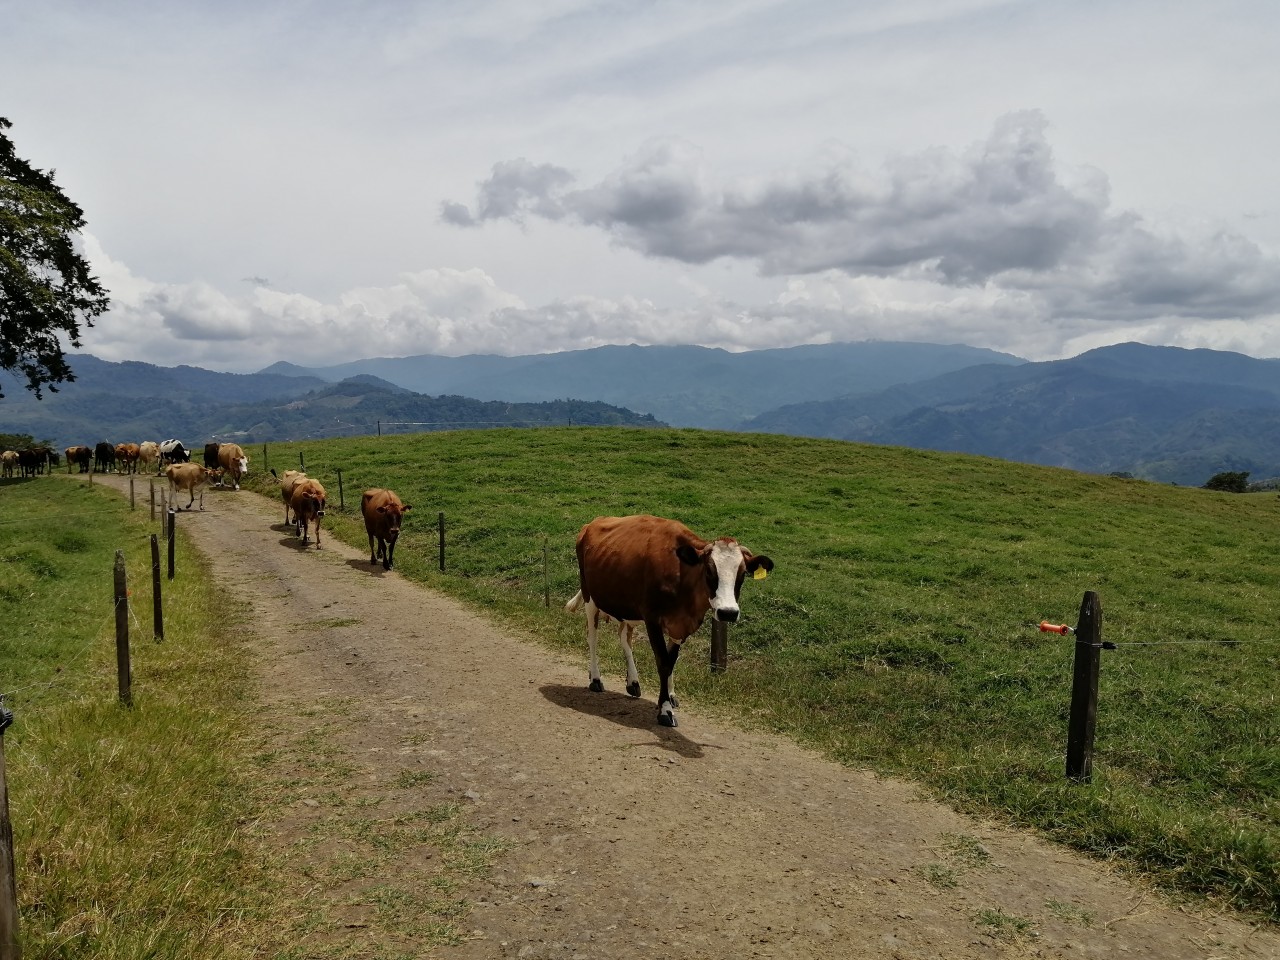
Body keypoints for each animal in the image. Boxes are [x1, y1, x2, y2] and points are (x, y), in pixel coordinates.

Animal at [568, 514, 774, 728]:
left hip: (626, 607)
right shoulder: (652, 619)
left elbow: (672, 660)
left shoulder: (681, 625)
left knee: (624, 638)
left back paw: (633, 681)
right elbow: (664, 662)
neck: (681, 573)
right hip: (590, 597)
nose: (728, 612)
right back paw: (595, 679)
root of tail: (593, 522)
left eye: (742, 574)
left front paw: (670, 695)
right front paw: (665, 710)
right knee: (593, 637)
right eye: (709, 571)